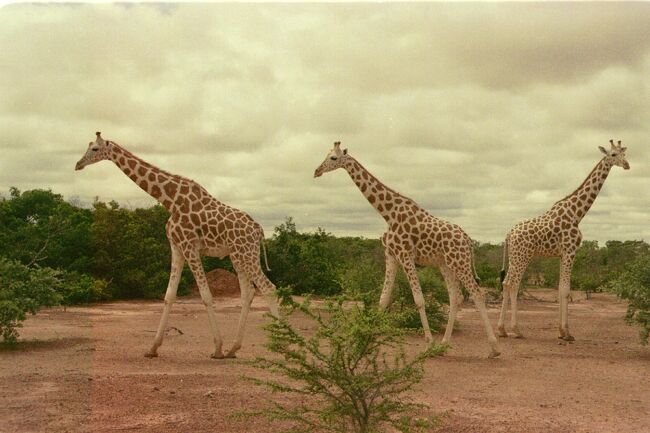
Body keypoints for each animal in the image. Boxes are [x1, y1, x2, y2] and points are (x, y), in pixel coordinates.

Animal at [74, 132, 278, 358]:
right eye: (88, 146)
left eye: (94, 148)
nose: (78, 164)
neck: (170, 200)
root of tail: (259, 230)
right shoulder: (176, 246)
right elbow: (169, 295)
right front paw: (152, 348)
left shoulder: (189, 246)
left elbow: (206, 296)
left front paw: (217, 348)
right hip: (238, 255)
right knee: (248, 293)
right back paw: (233, 349)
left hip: (247, 254)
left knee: (269, 288)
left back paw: (283, 347)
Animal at [314, 142, 502, 358]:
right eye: (327, 154)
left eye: (334, 158)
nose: (317, 171)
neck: (387, 214)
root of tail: (468, 240)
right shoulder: (391, 255)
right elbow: (383, 299)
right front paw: (364, 340)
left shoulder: (405, 255)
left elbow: (419, 299)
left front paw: (428, 343)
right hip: (445, 264)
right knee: (456, 297)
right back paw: (444, 344)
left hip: (459, 262)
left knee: (478, 294)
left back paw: (494, 348)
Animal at [496, 140, 628, 340]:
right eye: (613, 154)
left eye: (624, 153)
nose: (627, 165)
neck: (577, 214)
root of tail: (509, 235)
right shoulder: (570, 251)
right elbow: (565, 290)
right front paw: (566, 333)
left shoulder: (561, 255)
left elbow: (560, 289)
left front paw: (560, 331)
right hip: (523, 257)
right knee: (513, 285)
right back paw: (516, 330)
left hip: (514, 257)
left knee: (505, 283)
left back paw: (502, 329)